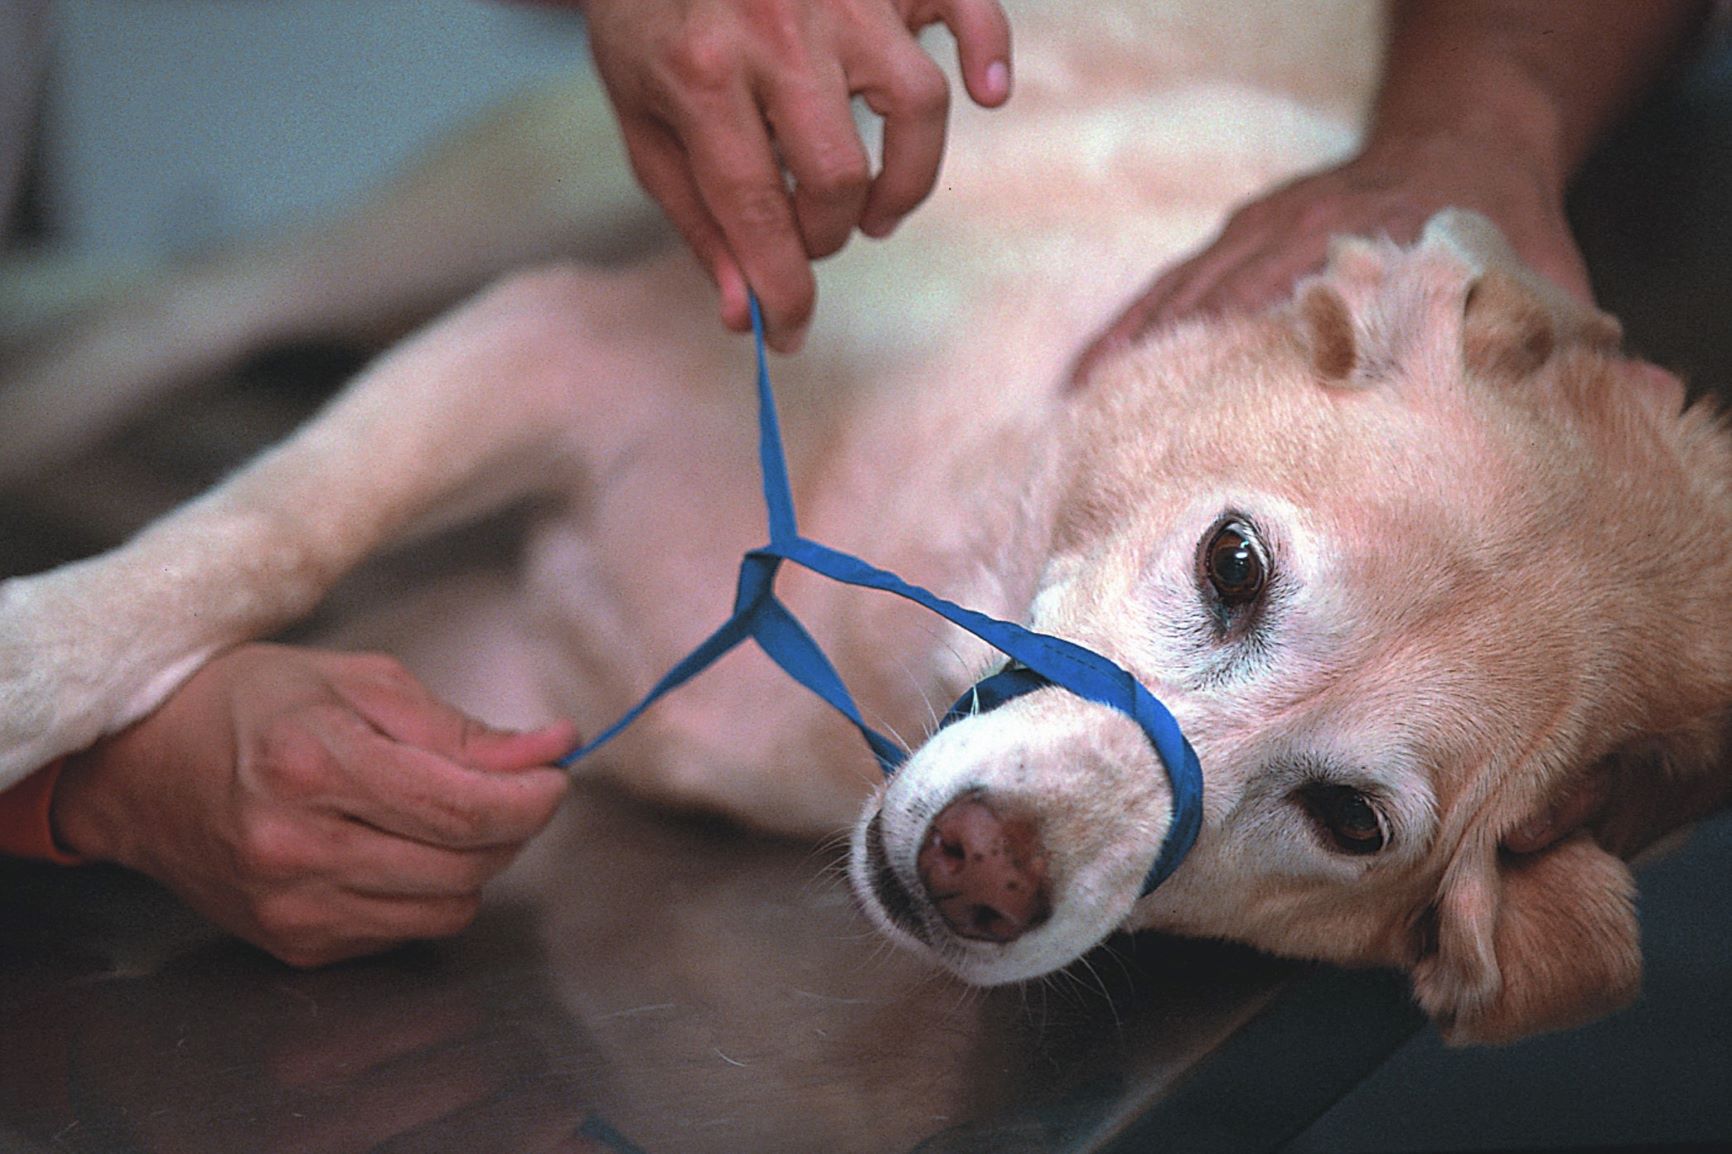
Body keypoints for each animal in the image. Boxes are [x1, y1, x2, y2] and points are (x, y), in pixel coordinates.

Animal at [3, 2, 1732, 1039]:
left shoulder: (507, 670)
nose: (983, 875)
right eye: (1235, 564)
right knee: (185, 308)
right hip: (512, 195)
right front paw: (41, 659)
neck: (898, 592)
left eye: (1352, 822)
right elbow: (269, 531)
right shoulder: (549, 336)